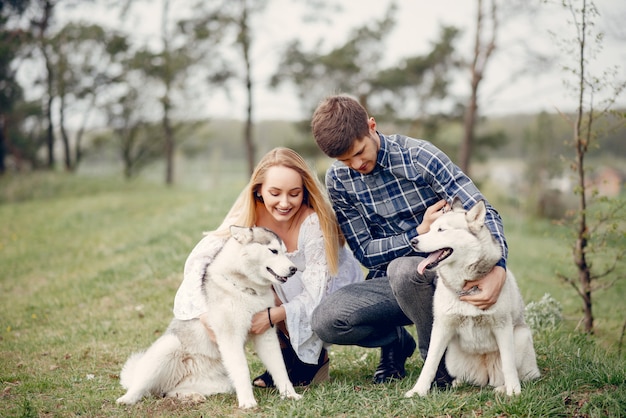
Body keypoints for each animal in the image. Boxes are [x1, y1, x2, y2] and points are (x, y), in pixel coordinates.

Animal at [117, 225, 304, 408]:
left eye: (285, 252)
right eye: (273, 251)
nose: (294, 269)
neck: (247, 288)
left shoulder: (265, 333)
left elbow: (279, 367)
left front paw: (289, 394)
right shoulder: (230, 337)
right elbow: (242, 369)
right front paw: (247, 402)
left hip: (220, 383)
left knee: (170, 390)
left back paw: (190, 396)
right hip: (167, 347)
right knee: (142, 386)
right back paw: (127, 398)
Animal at [402, 200, 540, 398]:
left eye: (441, 230)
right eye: (430, 228)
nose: (413, 241)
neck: (465, 287)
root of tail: (486, 374)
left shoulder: (502, 326)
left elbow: (508, 364)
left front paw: (514, 391)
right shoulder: (442, 327)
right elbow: (430, 362)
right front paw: (418, 390)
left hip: (520, 337)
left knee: (519, 373)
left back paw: (503, 387)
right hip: (452, 356)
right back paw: (458, 382)